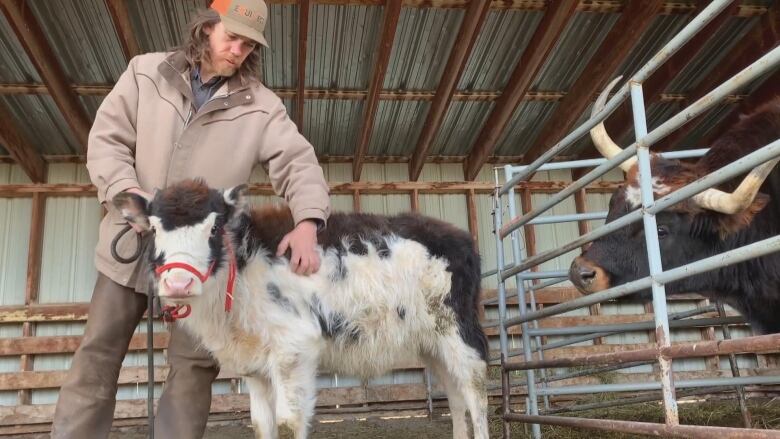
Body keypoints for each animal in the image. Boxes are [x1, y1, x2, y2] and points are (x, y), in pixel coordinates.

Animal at [115, 180, 488, 439]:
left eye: (214, 228)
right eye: (154, 229)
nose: (178, 283)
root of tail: (461, 237)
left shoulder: (294, 349)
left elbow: (288, 423)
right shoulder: (254, 364)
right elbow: (261, 424)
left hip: (458, 327)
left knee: (474, 390)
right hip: (430, 340)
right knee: (454, 392)